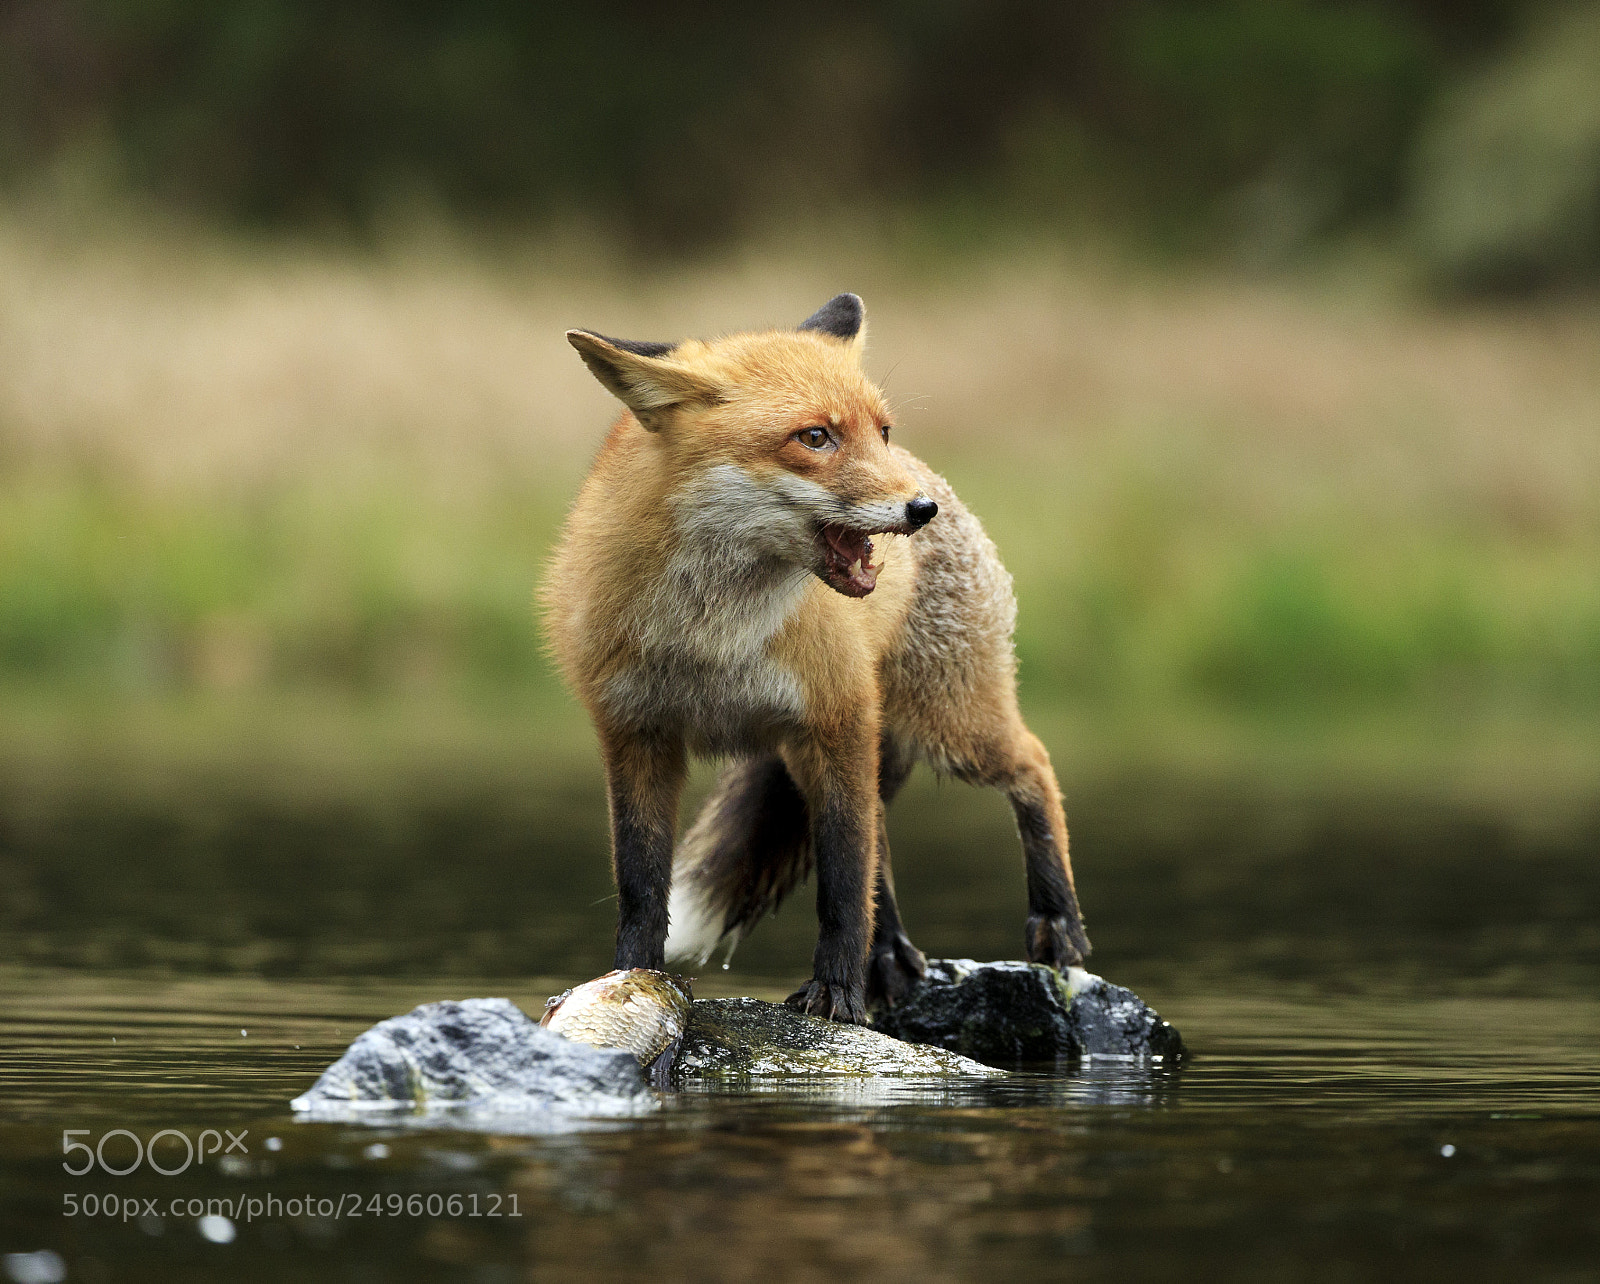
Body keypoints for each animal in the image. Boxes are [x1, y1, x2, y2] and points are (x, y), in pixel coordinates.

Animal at [543, 293, 1090, 1024]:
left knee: (1032, 765)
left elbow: (842, 882)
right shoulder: (636, 735)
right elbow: (641, 883)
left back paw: (1055, 920)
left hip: (947, 726)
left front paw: (836, 993)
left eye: (879, 431)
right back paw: (889, 956)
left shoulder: (835, 719)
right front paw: (628, 979)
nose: (920, 508)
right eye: (814, 437)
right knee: (880, 839)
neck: (710, 638)